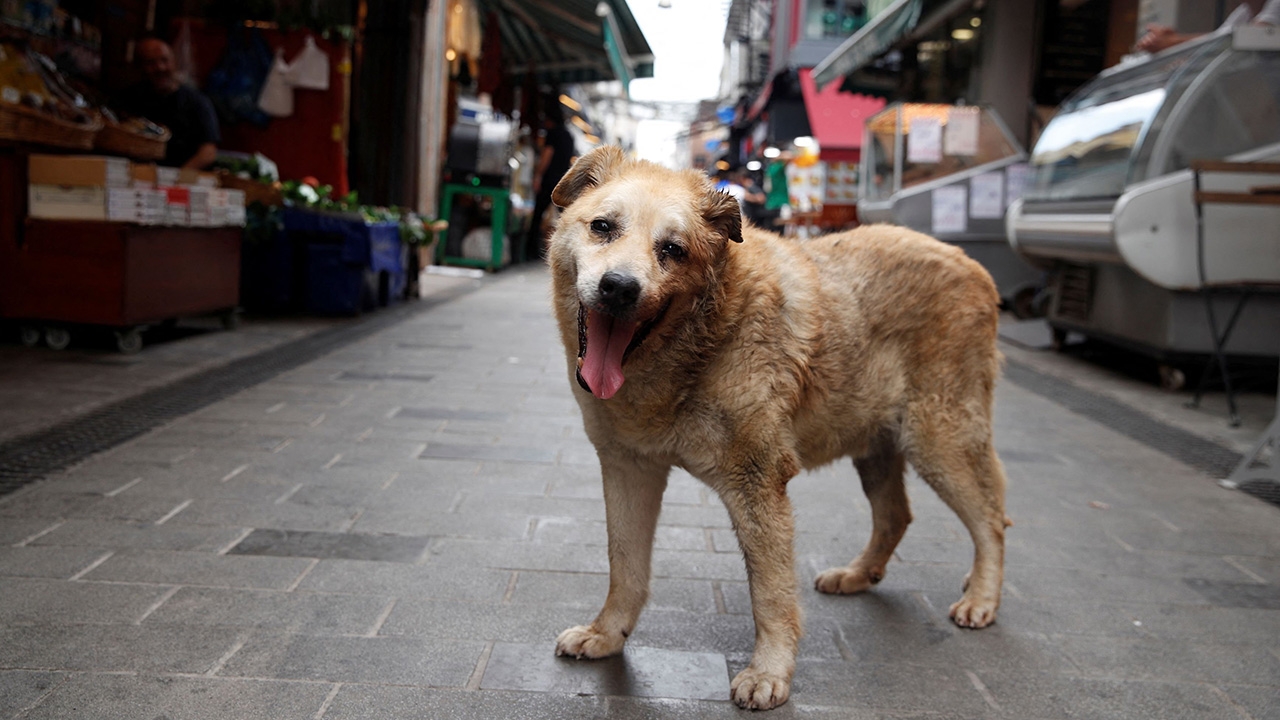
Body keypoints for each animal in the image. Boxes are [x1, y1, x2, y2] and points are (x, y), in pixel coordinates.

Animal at [550, 146, 1008, 707]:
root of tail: (971, 264)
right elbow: (625, 566)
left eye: (672, 249)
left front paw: (770, 672)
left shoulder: (759, 482)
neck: (704, 339)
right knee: (896, 516)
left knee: (991, 520)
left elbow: (770, 594)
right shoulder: (629, 468)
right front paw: (607, 634)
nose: (619, 289)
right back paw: (858, 575)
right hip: (877, 445)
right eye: (602, 227)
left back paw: (982, 598)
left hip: (940, 441)